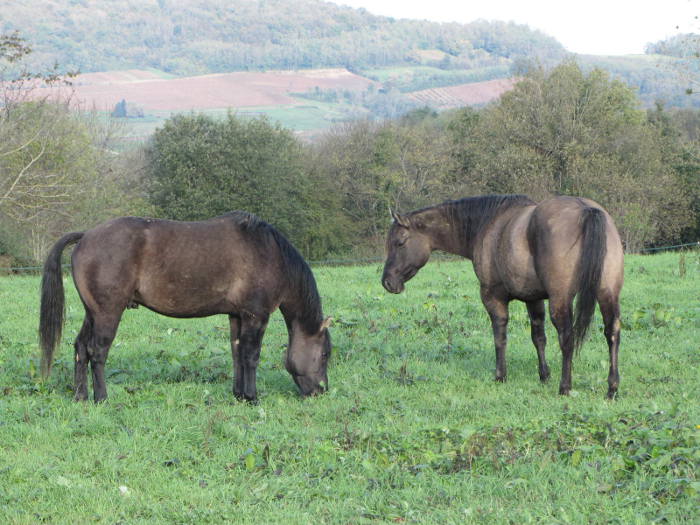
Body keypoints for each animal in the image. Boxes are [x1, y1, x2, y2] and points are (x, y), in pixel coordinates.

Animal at [39, 211, 332, 403]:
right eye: (325, 354)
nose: (321, 391)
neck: (268, 252)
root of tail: (86, 235)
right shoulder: (255, 316)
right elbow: (251, 356)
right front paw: (252, 397)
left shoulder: (236, 316)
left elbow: (237, 354)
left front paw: (239, 395)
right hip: (107, 313)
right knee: (97, 352)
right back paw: (101, 397)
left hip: (92, 313)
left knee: (80, 348)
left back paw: (80, 396)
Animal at [381, 195, 624, 398]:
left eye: (400, 242)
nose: (387, 282)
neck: (488, 225)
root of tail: (587, 210)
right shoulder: (534, 299)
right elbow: (539, 338)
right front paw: (544, 375)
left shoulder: (492, 297)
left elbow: (500, 337)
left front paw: (500, 375)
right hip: (607, 293)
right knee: (611, 333)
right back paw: (612, 389)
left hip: (561, 299)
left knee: (567, 338)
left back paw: (565, 387)